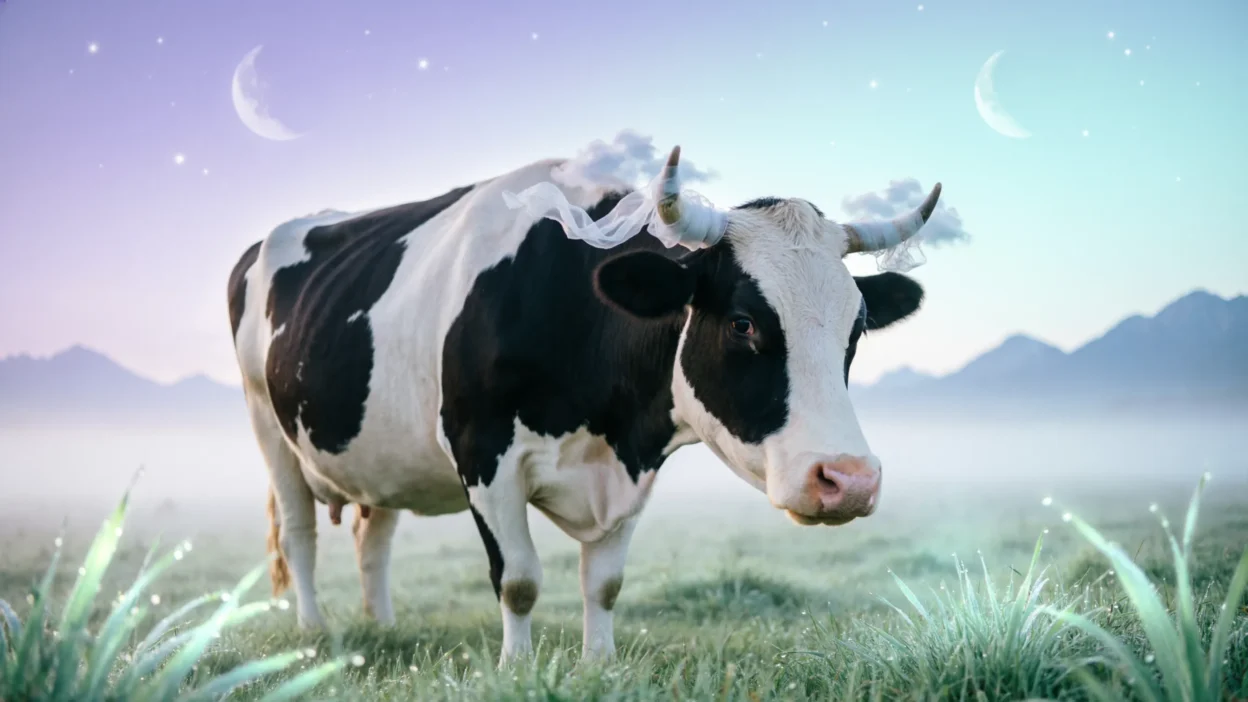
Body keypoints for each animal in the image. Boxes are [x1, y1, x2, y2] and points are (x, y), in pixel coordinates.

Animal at [227, 146, 940, 664]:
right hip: (268, 428)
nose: (849, 480)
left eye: (856, 329)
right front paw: (516, 670)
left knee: (373, 537)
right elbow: (518, 580)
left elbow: (604, 583)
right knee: (298, 535)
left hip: (379, 452)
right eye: (742, 323)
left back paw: (382, 626)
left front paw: (600, 665)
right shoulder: (482, 451)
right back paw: (315, 634)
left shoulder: (632, 465)